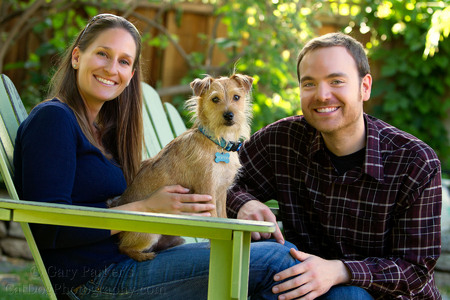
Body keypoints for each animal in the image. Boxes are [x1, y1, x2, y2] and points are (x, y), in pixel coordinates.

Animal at [111, 72, 253, 260]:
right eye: (215, 99)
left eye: (236, 97)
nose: (229, 115)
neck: (217, 142)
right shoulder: (207, 191)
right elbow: (215, 218)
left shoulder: (221, 191)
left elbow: (223, 216)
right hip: (149, 234)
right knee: (123, 248)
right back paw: (142, 255)